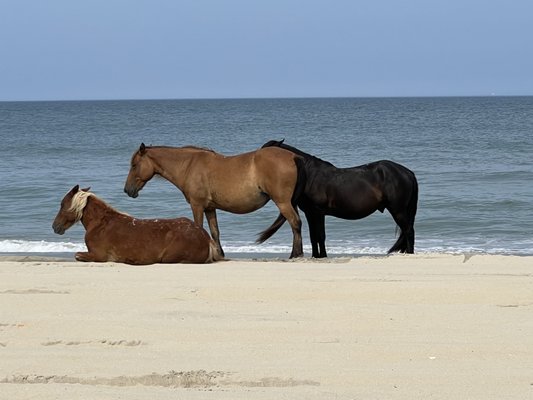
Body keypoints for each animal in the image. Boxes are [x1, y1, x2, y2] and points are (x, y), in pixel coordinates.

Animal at [52, 185, 222, 266]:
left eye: (62, 204)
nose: (55, 227)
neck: (101, 224)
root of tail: (205, 237)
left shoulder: (99, 256)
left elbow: (77, 255)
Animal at [121, 145, 304, 260]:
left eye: (134, 165)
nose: (127, 190)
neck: (188, 166)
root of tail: (293, 156)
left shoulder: (197, 205)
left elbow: (199, 227)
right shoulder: (210, 208)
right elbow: (215, 232)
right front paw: (220, 254)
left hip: (283, 202)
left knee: (295, 223)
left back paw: (296, 254)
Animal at [260, 141, 418, 258]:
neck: (310, 175)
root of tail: (408, 172)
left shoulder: (318, 213)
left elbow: (320, 235)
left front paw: (322, 256)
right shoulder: (310, 213)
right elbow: (313, 236)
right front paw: (316, 256)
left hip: (398, 210)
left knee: (409, 231)